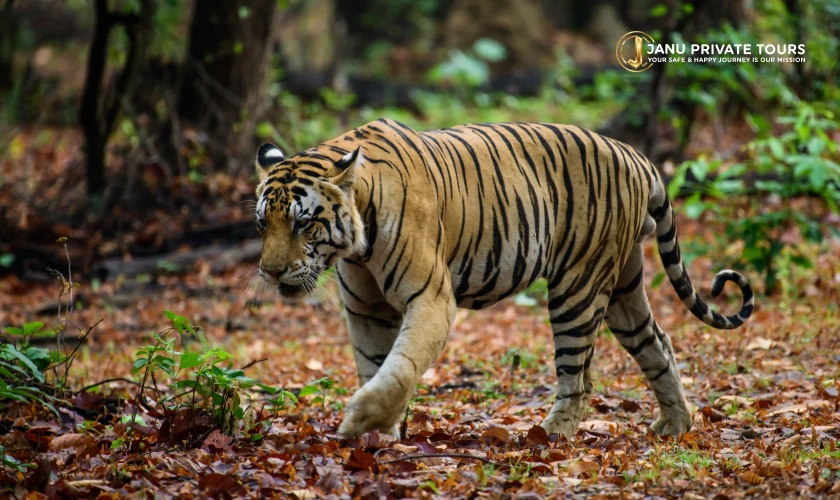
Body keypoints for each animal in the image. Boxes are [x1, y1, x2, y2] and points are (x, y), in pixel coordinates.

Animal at [253, 118, 754, 439]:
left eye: (302, 223)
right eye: (263, 223)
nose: (270, 272)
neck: (356, 243)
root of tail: (634, 155)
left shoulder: (431, 299)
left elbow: (401, 366)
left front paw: (360, 422)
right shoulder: (367, 309)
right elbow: (374, 365)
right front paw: (377, 435)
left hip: (578, 286)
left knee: (578, 376)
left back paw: (550, 435)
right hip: (622, 288)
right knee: (658, 343)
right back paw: (675, 425)